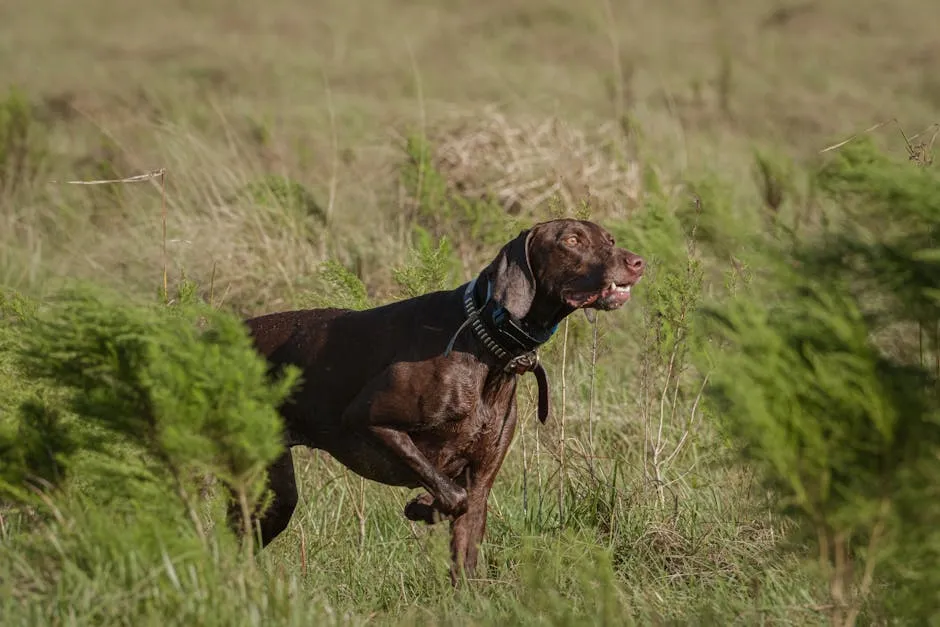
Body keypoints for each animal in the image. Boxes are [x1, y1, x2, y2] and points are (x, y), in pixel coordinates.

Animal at [241, 218, 648, 580]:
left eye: (609, 239)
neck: (487, 342)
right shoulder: (368, 421)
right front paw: (422, 506)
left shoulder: (481, 481)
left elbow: (465, 549)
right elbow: (452, 495)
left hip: (274, 496)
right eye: (572, 240)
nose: (637, 262)